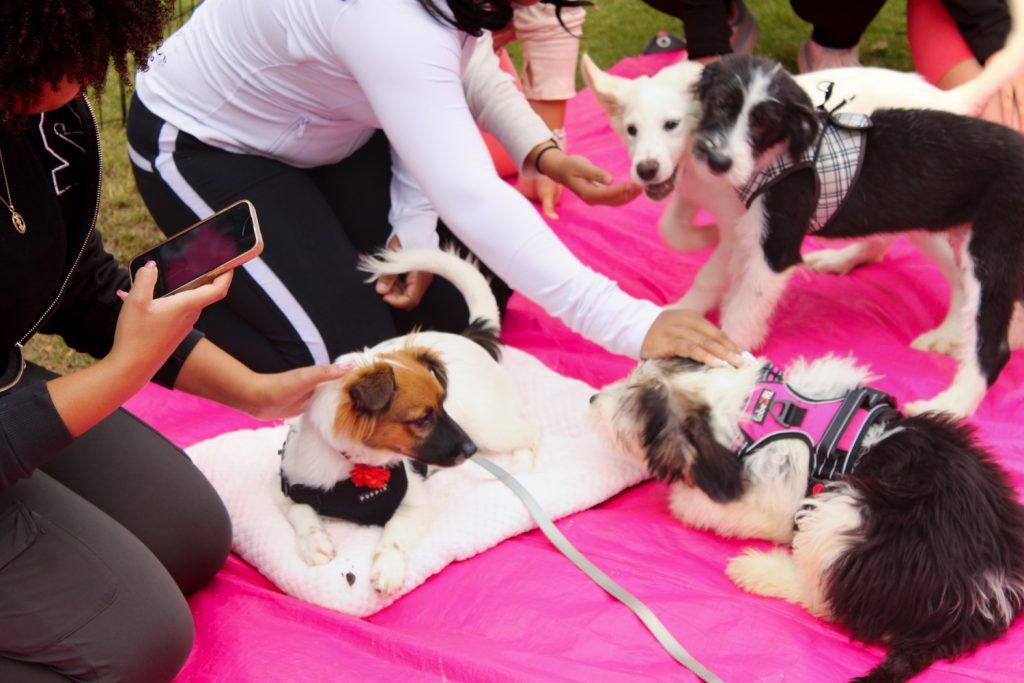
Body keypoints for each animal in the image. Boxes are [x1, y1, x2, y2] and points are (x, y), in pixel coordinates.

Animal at [276, 248, 540, 593]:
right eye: (423, 419)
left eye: (444, 405)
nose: (470, 451)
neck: (353, 469)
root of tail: (470, 337)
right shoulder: (286, 488)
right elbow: (302, 512)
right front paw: (315, 543)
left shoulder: (415, 504)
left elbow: (395, 534)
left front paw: (388, 566)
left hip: (488, 427)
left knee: (531, 433)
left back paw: (520, 463)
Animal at [589, 356, 1024, 679]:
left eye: (628, 410)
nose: (593, 399)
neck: (757, 410)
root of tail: (987, 588)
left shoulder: (770, 495)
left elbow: (711, 506)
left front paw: (683, 497)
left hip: (842, 514)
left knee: (823, 597)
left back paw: (758, 570)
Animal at [684, 54, 1024, 417]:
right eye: (721, 103)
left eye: (764, 123)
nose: (718, 161)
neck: (776, 156)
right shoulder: (746, 233)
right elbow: (723, 285)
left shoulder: (776, 249)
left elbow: (743, 310)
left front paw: (720, 370)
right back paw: (948, 334)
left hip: (992, 244)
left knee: (993, 343)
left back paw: (951, 405)